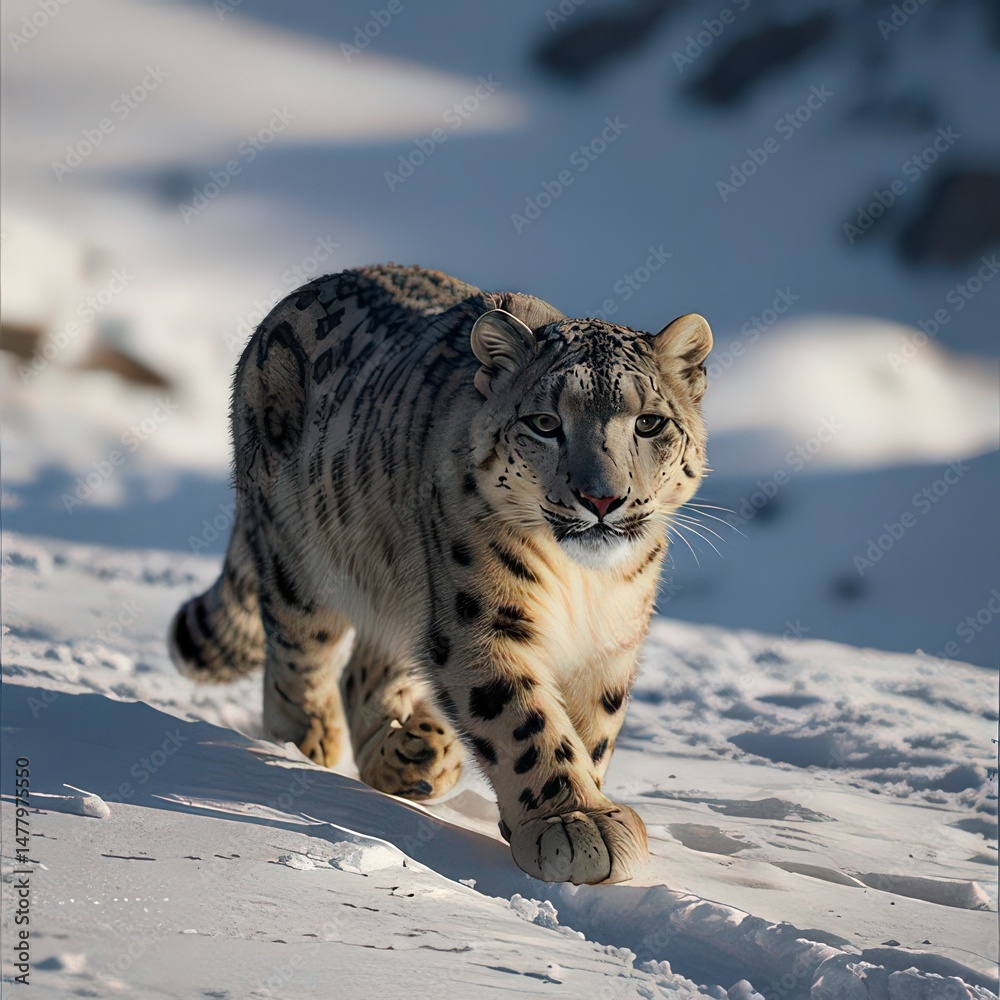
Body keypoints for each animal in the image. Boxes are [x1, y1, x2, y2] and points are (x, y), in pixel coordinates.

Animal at [169, 263, 712, 885]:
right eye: (545, 423)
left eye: (649, 423)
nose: (602, 498)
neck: (583, 587)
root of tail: (286, 303)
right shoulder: (482, 621)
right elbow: (525, 722)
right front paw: (575, 823)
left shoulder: (611, 647)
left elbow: (592, 728)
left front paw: (576, 810)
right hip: (299, 557)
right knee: (299, 657)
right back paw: (311, 748)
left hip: (394, 586)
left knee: (367, 669)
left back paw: (411, 755)